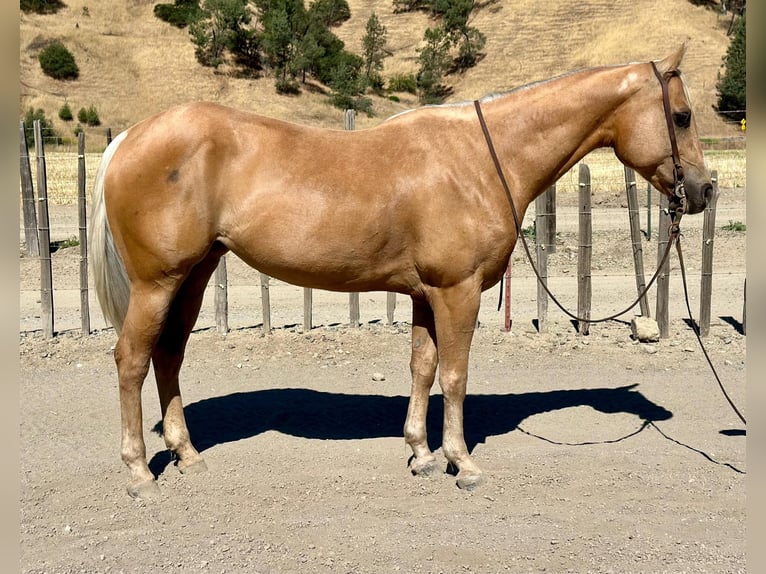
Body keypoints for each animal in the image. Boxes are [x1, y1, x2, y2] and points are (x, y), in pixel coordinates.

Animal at [89, 44, 712, 499]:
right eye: (681, 116)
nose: (705, 190)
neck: (483, 157)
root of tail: (129, 139)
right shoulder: (458, 292)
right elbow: (455, 375)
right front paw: (462, 463)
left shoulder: (423, 295)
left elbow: (423, 368)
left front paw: (422, 454)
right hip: (157, 284)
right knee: (132, 360)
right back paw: (140, 473)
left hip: (192, 278)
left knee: (168, 357)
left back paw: (187, 455)